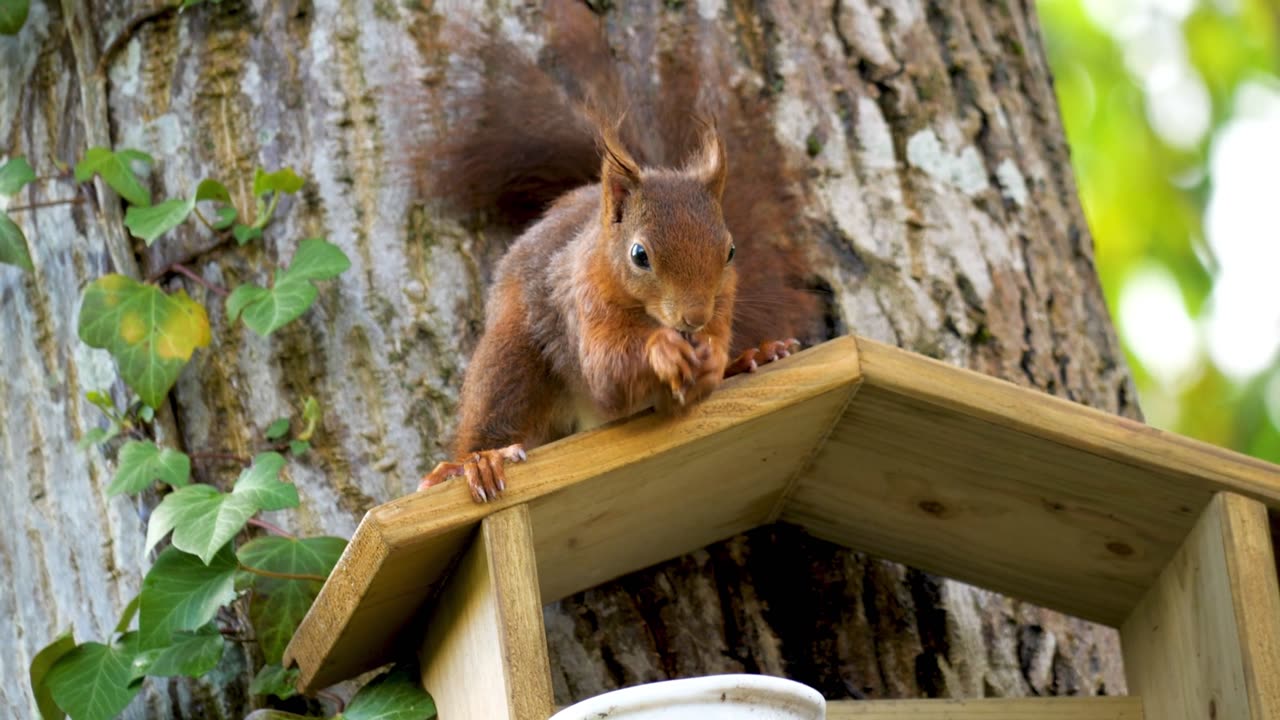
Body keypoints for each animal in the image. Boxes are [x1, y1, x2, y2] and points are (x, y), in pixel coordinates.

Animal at [417, 29, 819, 499]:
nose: (694, 318)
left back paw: (759, 355)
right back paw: (475, 463)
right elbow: (608, 371)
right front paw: (663, 350)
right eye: (639, 255)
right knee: (496, 406)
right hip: (513, 351)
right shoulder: (583, 298)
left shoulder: (724, 302)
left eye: (731, 252)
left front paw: (716, 358)